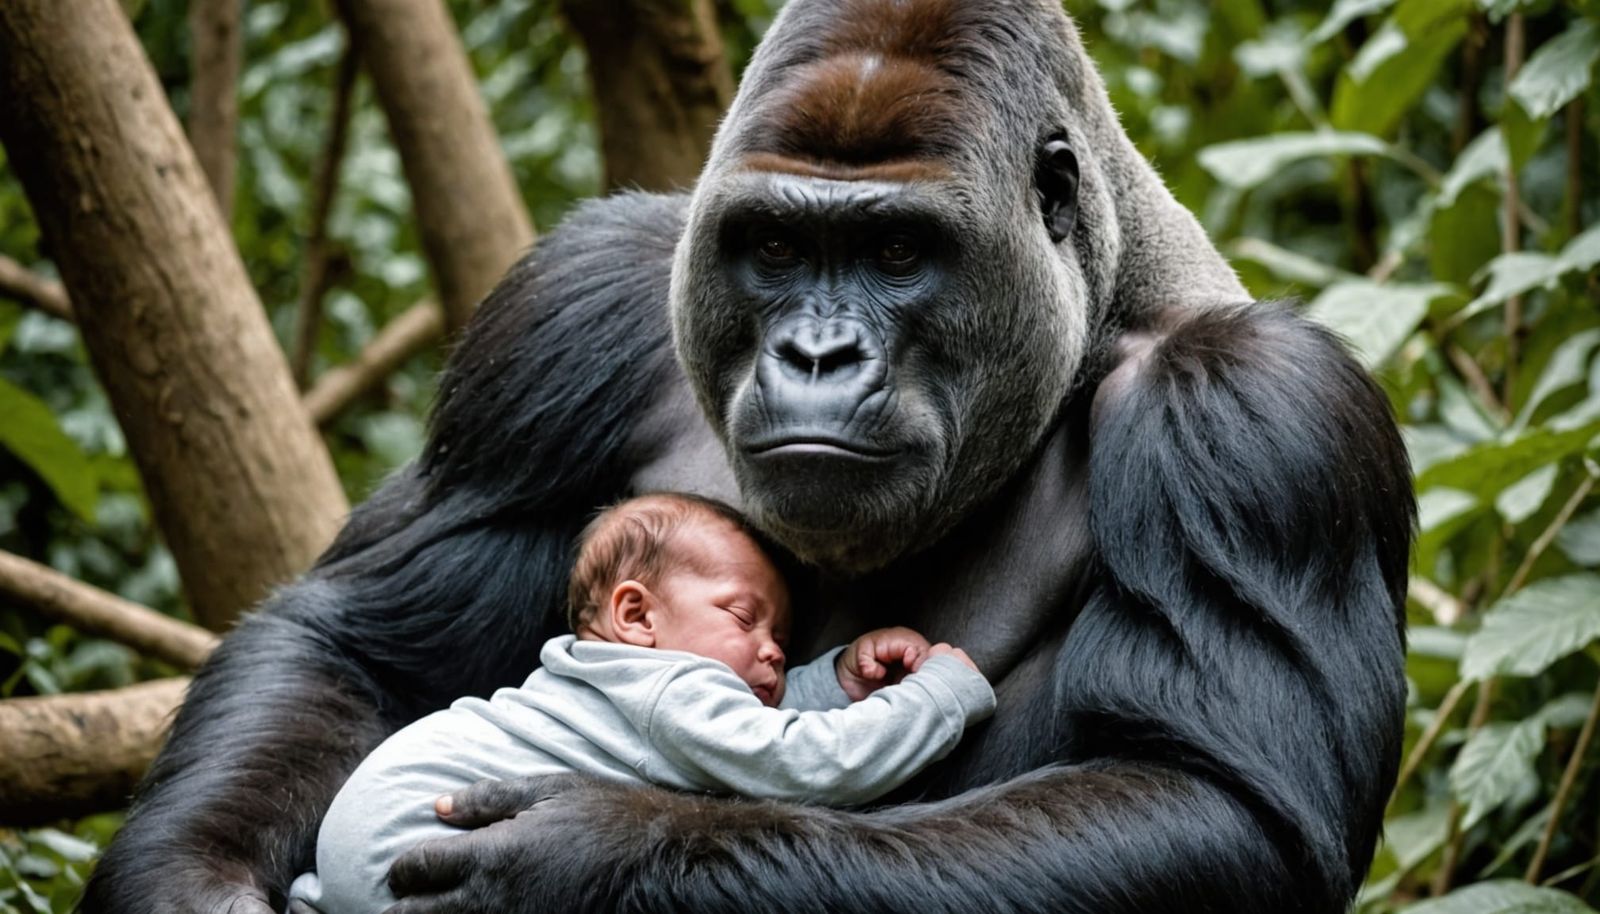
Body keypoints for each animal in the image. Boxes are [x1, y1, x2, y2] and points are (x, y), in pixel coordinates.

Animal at [80, 1, 1413, 912]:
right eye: (773, 243)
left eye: (896, 252)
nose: (816, 352)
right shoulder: (576, 302)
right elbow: (357, 638)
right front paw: (189, 885)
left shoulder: (1256, 414)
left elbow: (1210, 802)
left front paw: (582, 861)